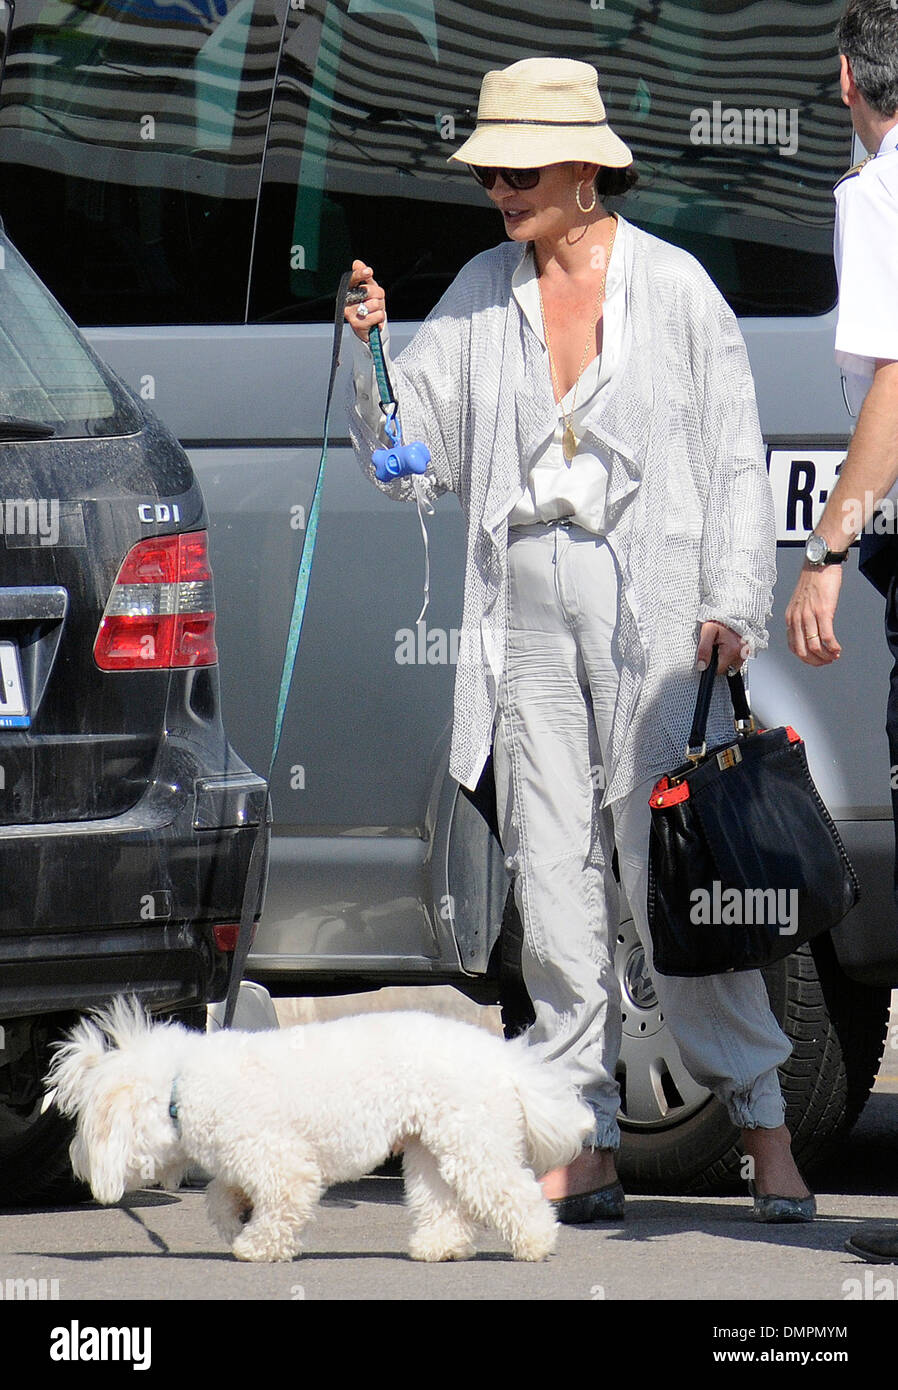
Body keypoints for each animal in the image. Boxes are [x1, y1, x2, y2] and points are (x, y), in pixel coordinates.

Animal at [49, 995, 597, 1267]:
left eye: (82, 1125)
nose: (74, 1160)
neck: (180, 1082)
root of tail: (505, 1060)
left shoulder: (280, 1162)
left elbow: (281, 1204)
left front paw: (256, 1246)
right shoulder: (245, 1155)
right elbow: (222, 1197)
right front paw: (237, 1221)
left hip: (472, 1141)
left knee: (513, 1192)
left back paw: (536, 1244)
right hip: (431, 1147)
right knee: (442, 1200)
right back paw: (440, 1246)